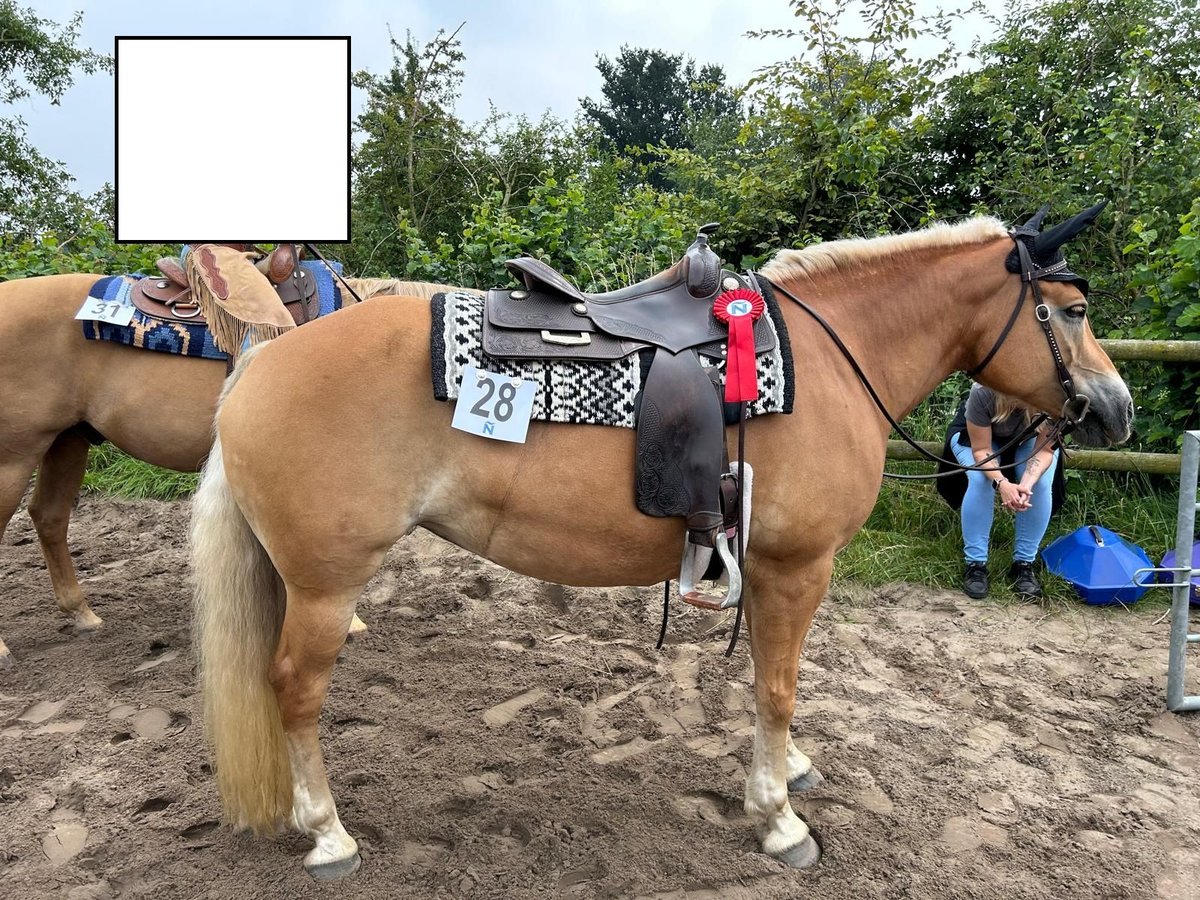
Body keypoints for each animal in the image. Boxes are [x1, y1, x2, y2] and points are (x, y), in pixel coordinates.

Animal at [189, 204, 1132, 873]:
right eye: (1074, 309)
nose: (1116, 409)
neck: (834, 359)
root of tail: (263, 360)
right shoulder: (796, 567)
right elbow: (779, 687)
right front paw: (778, 815)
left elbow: (774, 681)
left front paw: (790, 771)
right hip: (324, 583)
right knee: (293, 690)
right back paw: (329, 835)